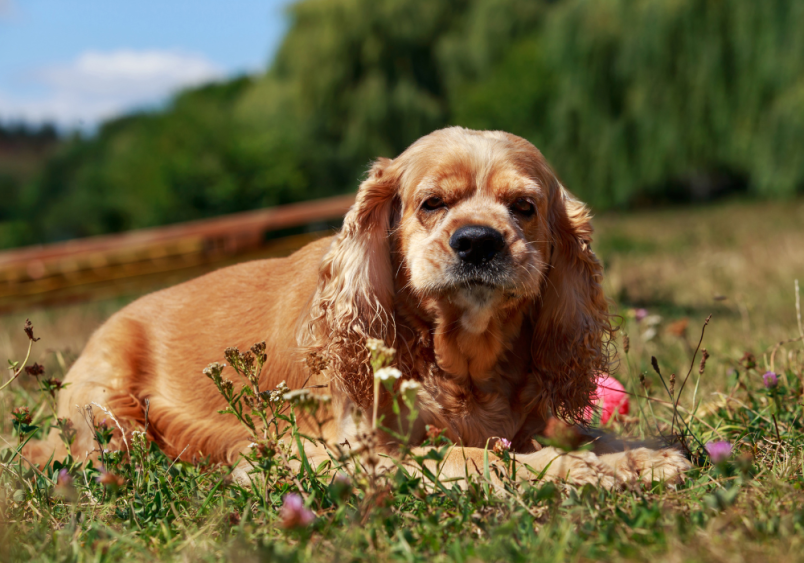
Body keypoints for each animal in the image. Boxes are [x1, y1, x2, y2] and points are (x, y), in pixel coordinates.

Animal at [26, 129, 692, 490]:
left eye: (524, 208)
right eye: (431, 203)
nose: (479, 240)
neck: (465, 362)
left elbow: (594, 434)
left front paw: (641, 457)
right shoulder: (333, 452)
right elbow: (476, 454)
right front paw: (581, 472)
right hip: (110, 410)